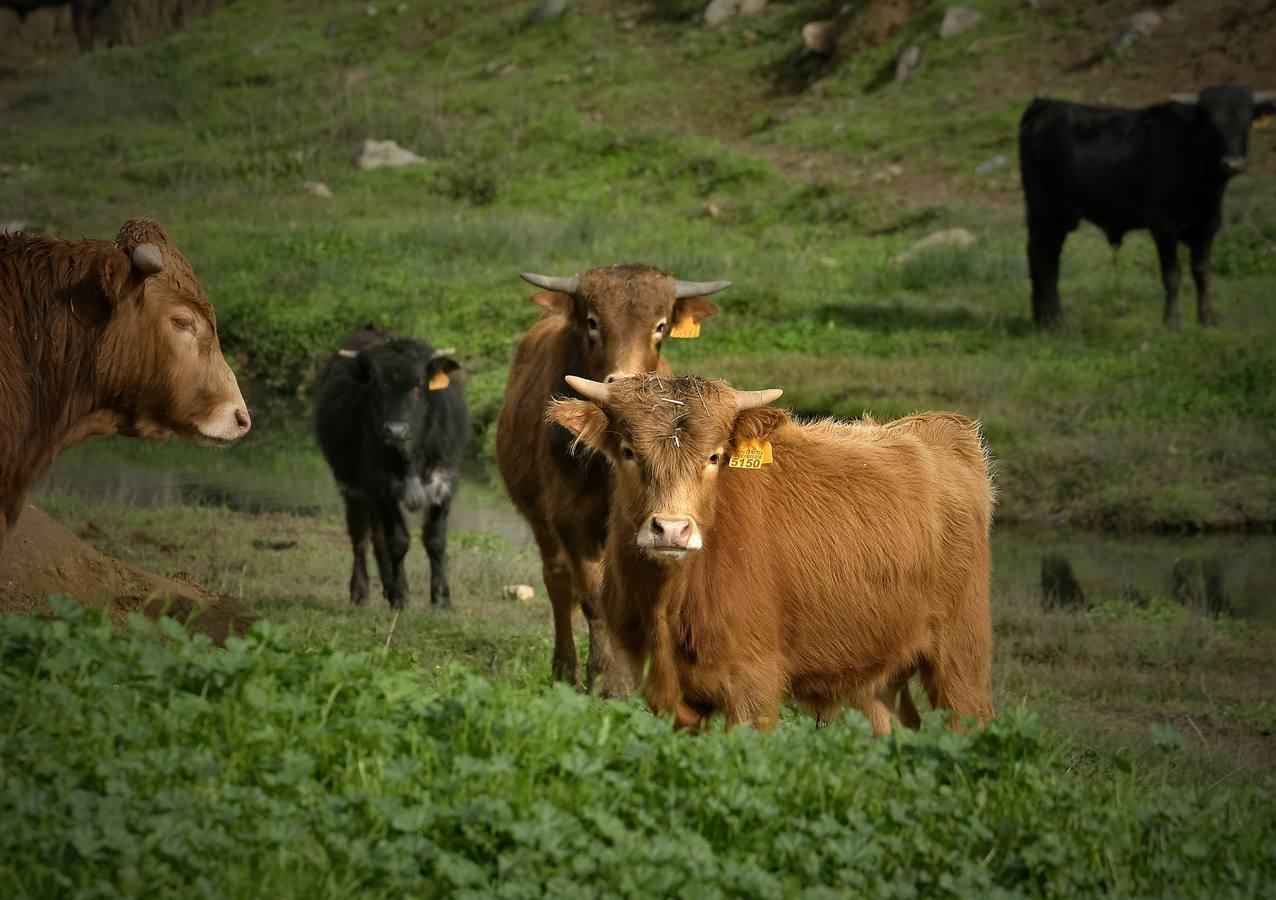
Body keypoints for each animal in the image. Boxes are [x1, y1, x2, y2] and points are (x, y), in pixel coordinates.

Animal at [497, 262, 729, 689]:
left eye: (660, 326)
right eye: (593, 321)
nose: (623, 385)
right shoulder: (569, 519)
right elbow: (592, 596)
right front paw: (607, 678)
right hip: (540, 520)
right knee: (557, 581)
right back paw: (564, 668)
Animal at [548, 372, 995, 730]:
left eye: (714, 456)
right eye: (628, 451)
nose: (671, 529)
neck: (669, 606)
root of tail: (940, 429)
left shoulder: (753, 687)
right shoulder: (664, 693)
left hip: (960, 653)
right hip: (878, 671)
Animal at [1015, 83, 1276, 329]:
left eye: (1246, 121)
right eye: (1211, 123)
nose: (1233, 163)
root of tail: (1045, 105)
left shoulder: (1207, 226)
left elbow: (1202, 273)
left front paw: (1208, 320)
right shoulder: (1163, 226)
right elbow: (1172, 274)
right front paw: (1172, 322)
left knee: (1045, 258)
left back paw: (1044, 321)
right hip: (1045, 211)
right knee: (1043, 259)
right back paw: (1055, 321)